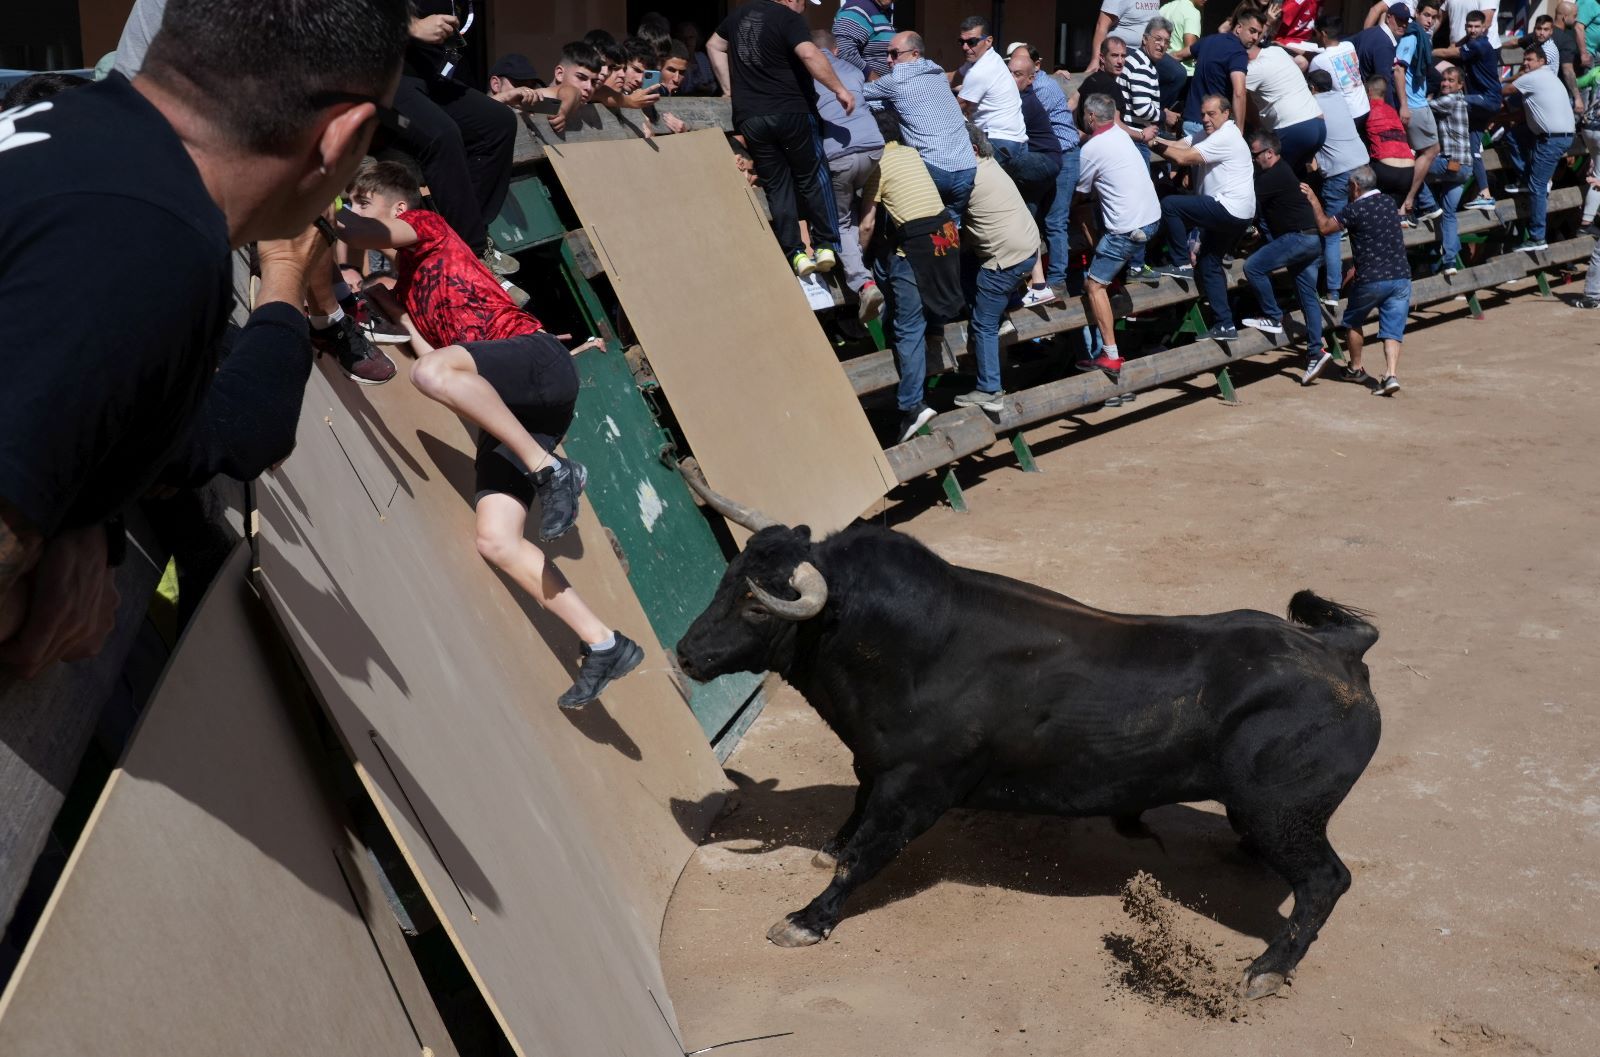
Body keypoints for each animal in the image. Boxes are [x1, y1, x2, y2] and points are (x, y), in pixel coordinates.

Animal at [668, 479, 1382, 997]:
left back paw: (1267, 970)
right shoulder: (877, 765)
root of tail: (1339, 651)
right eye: (726, 581)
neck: (909, 648)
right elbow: (853, 814)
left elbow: (865, 855)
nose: (685, 655)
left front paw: (805, 920)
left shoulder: (917, 789)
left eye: (756, 604)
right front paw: (826, 848)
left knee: (1325, 881)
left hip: (1281, 812)